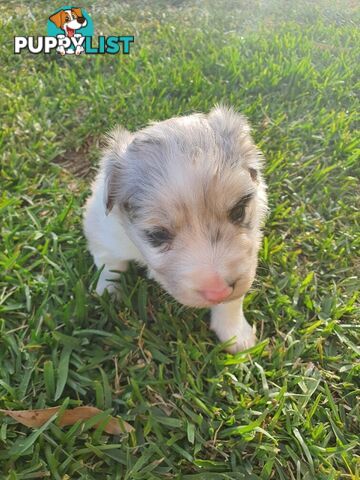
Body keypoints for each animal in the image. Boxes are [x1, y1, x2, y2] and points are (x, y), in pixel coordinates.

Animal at [83, 106, 268, 352]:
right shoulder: (103, 232)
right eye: (158, 234)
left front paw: (236, 335)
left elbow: (232, 302)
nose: (218, 291)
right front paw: (107, 294)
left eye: (238, 211)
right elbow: (110, 266)